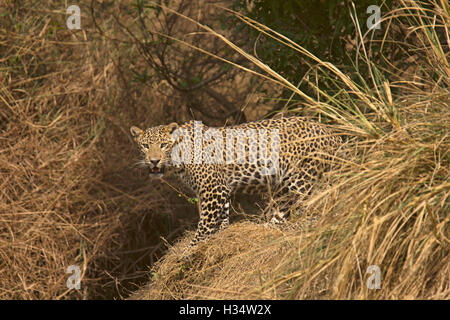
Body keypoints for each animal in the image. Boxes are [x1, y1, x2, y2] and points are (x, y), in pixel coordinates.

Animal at [130, 117, 342, 248]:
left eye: (164, 145)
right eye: (145, 146)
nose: (154, 161)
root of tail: (333, 134)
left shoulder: (212, 190)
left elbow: (204, 224)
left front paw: (189, 251)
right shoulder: (221, 189)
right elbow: (221, 217)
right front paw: (222, 232)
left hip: (301, 178)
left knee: (310, 209)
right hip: (284, 187)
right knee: (283, 213)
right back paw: (265, 228)